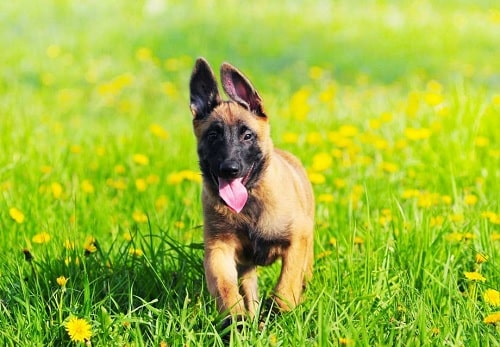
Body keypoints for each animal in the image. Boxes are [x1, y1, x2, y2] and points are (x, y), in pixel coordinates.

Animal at [189, 57, 314, 320]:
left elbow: (286, 285)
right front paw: (236, 316)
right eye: (213, 136)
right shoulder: (219, 248)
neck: (250, 204)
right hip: (246, 266)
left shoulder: (298, 238)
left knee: (302, 277)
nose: (230, 169)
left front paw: (282, 308)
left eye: (247, 135)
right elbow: (224, 285)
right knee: (248, 286)